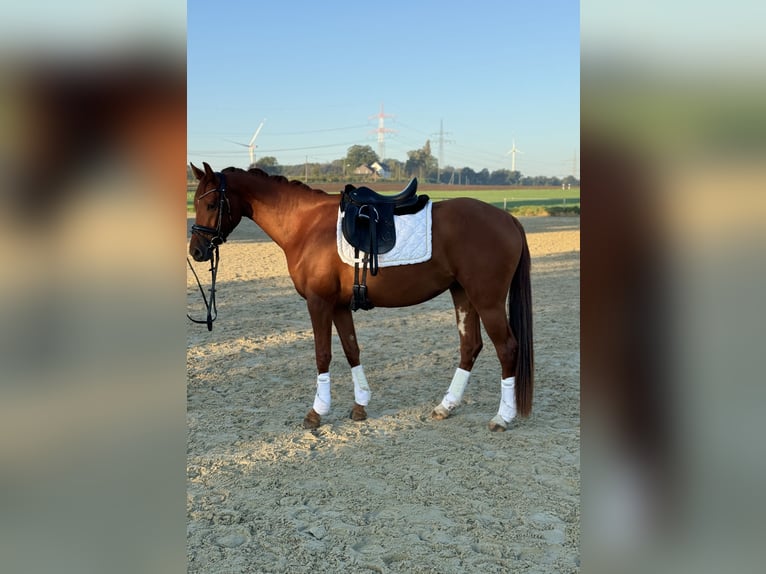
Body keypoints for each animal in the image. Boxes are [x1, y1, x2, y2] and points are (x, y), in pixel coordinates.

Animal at [188, 162, 536, 432]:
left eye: (212, 204)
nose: (197, 251)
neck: (306, 226)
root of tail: (508, 219)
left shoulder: (318, 302)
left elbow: (323, 354)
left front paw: (316, 413)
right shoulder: (340, 305)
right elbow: (352, 350)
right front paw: (360, 406)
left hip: (487, 300)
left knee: (507, 348)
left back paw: (502, 417)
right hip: (463, 294)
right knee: (470, 347)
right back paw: (446, 406)